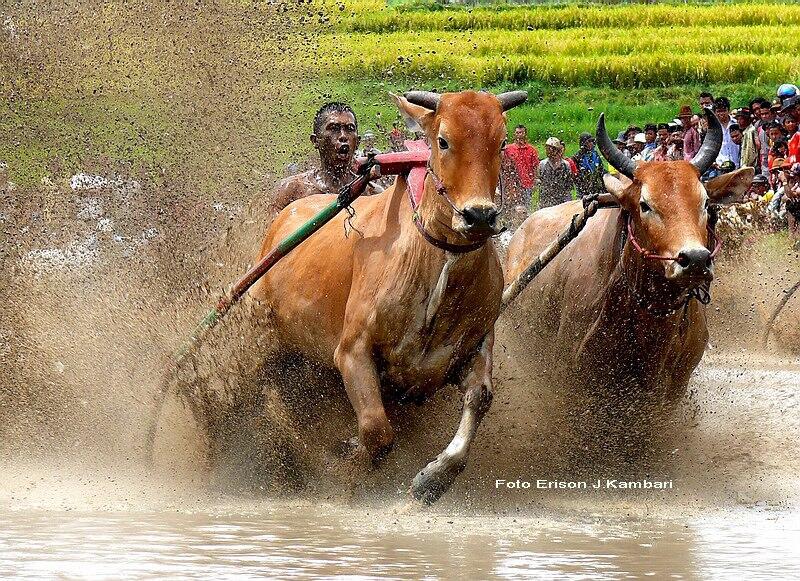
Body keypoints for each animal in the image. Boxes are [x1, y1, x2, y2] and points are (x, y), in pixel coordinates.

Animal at [250, 88, 524, 500]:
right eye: (442, 140)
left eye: (502, 142)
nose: (479, 216)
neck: (437, 263)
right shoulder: (352, 351)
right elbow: (376, 430)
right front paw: (346, 461)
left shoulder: (475, 346)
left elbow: (479, 398)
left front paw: (433, 478)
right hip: (264, 336)